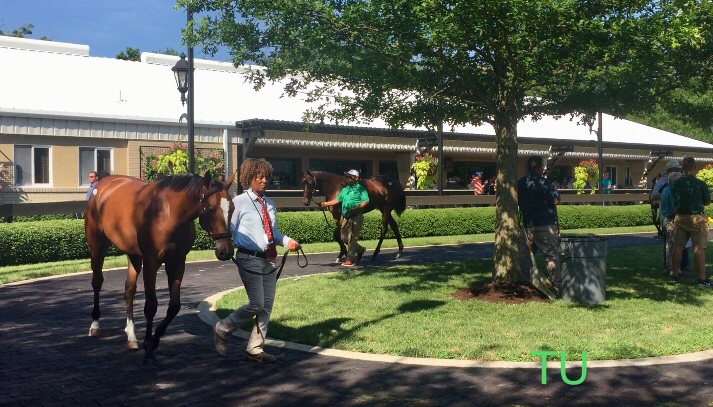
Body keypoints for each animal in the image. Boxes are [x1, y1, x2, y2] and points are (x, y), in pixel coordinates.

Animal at [83, 171, 234, 368]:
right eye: (210, 208)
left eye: (232, 208)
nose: (226, 251)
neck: (167, 213)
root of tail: (104, 184)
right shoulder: (151, 262)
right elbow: (151, 306)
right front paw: (148, 348)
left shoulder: (177, 263)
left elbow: (174, 306)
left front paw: (153, 342)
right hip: (97, 245)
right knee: (97, 282)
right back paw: (95, 324)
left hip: (133, 254)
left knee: (129, 290)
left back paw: (132, 336)